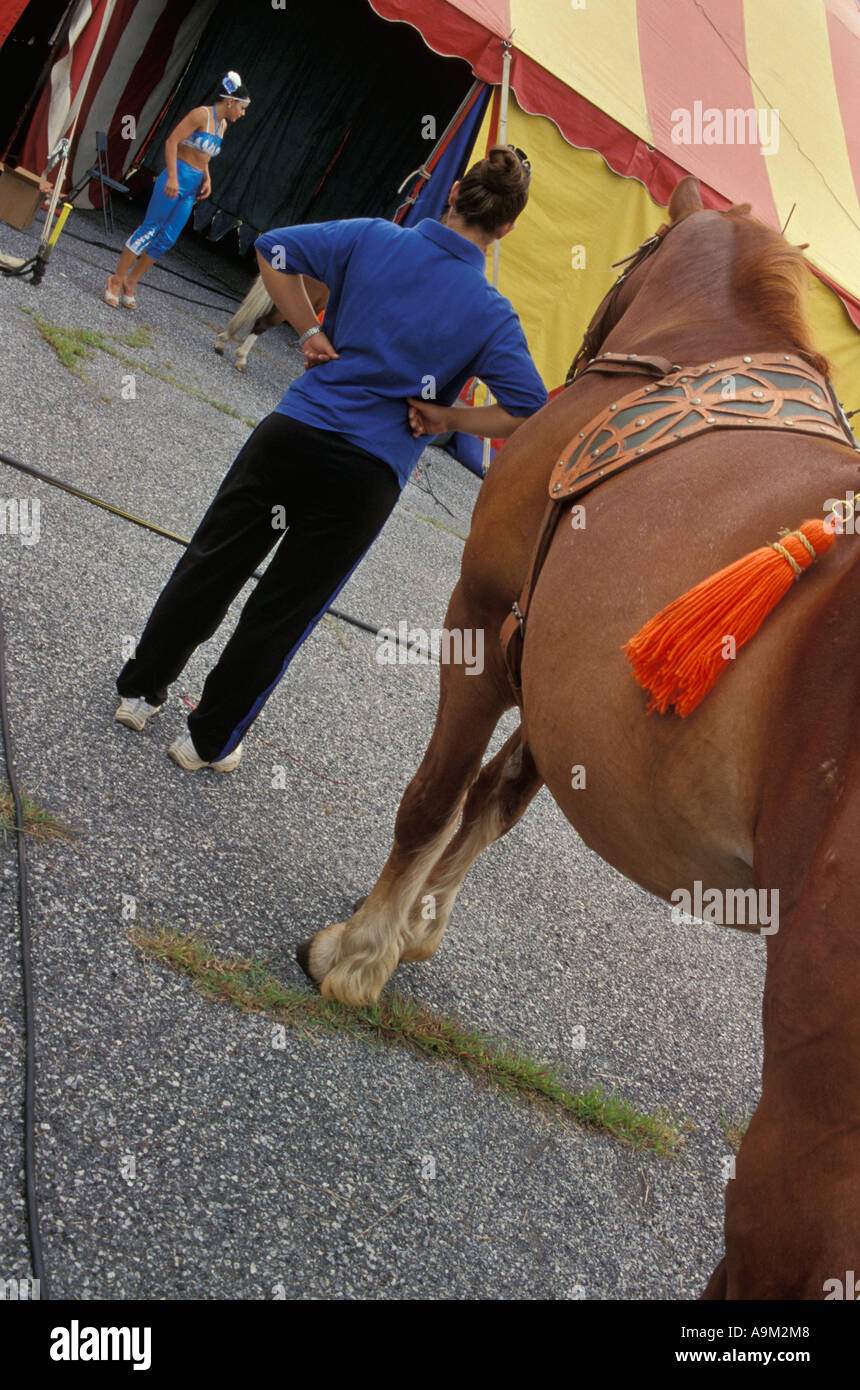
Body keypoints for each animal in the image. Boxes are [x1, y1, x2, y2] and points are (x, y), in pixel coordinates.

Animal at [297, 175, 860, 1299]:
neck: (699, 343)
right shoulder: (559, 677)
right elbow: (496, 799)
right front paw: (416, 927)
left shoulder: (484, 615)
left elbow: (436, 797)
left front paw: (360, 953)